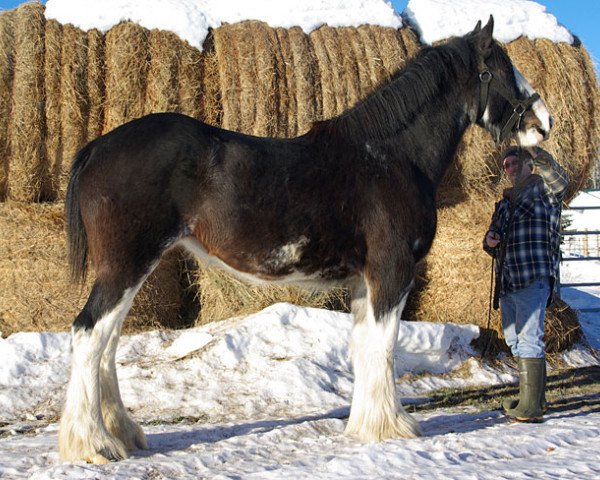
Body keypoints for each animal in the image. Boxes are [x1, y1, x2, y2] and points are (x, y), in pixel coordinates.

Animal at [58, 16, 552, 464]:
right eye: (501, 67)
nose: (545, 122)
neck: (390, 157)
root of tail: (98, 147)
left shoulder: (363, 282)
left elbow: (364, 347)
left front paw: (364, 425)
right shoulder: (391, 273)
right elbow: (384, 347)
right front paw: (390, 427)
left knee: (106, 344)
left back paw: (122, 435)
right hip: (126, 266)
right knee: (88, 336)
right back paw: (93, 444)